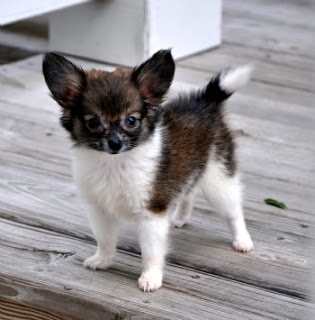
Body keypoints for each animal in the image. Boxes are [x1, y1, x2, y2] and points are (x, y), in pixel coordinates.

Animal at [42, 48, 254, 292]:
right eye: (93, 122)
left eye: (131, 120)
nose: (115, 143)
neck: (115, 163)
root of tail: (205, 102)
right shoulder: (99, 209)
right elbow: (105, 239)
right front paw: (102, 260)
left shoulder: (151, 213)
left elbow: (151, 251)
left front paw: (151, 278)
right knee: (188, 191)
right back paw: (180, 218)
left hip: (218, 177)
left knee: (233, 210)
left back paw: (242, 240)